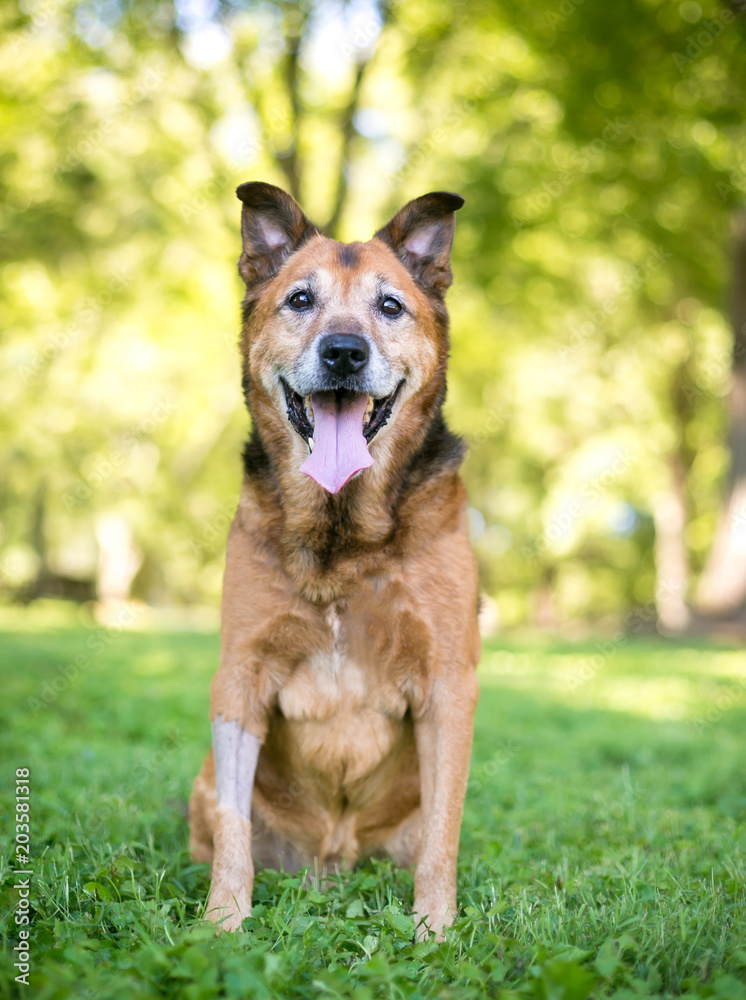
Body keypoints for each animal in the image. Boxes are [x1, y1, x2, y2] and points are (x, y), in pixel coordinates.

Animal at [189, 180, 480, 936]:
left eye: (390, 305)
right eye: (300, 299)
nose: (344, 352)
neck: (345, 535)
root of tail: (334, 856)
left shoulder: (448, 682)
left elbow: (443, 837)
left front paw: (436, 930)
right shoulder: (240, 676)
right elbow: (234, 830)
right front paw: (222, 922)